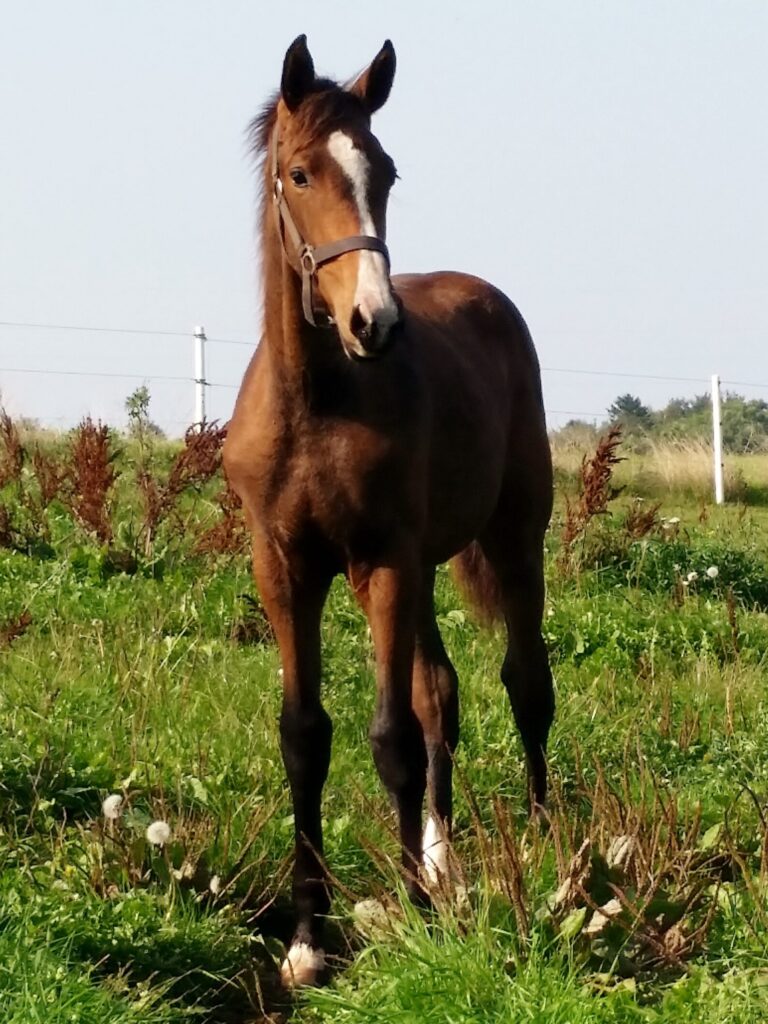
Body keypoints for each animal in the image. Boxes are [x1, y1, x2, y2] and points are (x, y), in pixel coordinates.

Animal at [225, 36, 557, 987]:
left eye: (387, 170)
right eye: (299, 173)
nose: (375, 321)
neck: (317, 404)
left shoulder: (381, 562)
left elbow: (391, 737)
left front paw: (414, 916)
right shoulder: (284, 566)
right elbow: (306, 734)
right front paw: (308, 937)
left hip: (509, 538)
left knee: (527, 682)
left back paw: (543, 840)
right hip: (427, 564)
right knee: (442, 688)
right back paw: (443, 860)